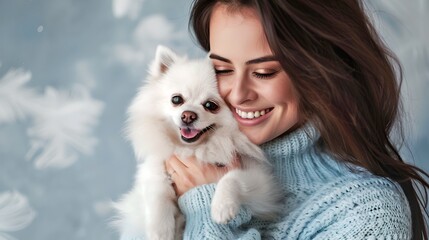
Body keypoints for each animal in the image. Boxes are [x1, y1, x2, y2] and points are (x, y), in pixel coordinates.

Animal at [112, 45, 282, 240]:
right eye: (176, 99)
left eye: (210, 105)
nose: (188, 115)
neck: (196, 149)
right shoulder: (154, 170)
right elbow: (157, 194)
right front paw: (160, 230)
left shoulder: (263, 184)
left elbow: (232, 177)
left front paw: (222, 207)